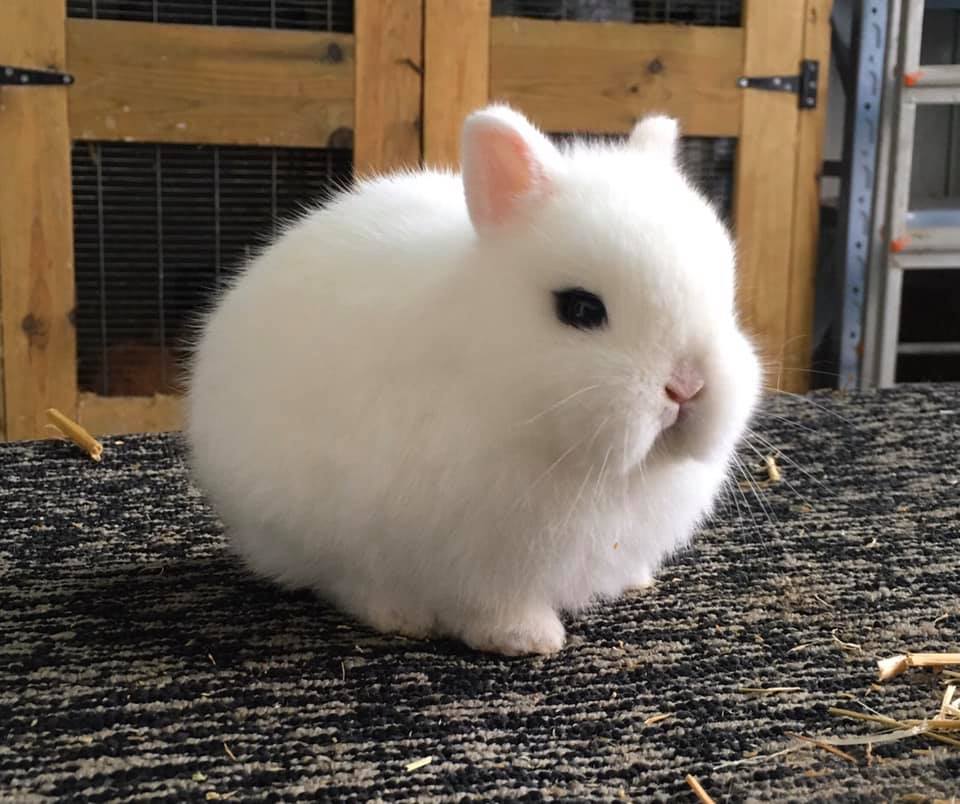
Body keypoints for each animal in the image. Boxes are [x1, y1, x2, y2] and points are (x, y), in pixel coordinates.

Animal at [185, 104, 762, 656]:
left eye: (725, 296)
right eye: (579, 308)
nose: (687, 387)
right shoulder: (477, 556)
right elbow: (490, 604)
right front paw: (526, 639)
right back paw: (400, 617)